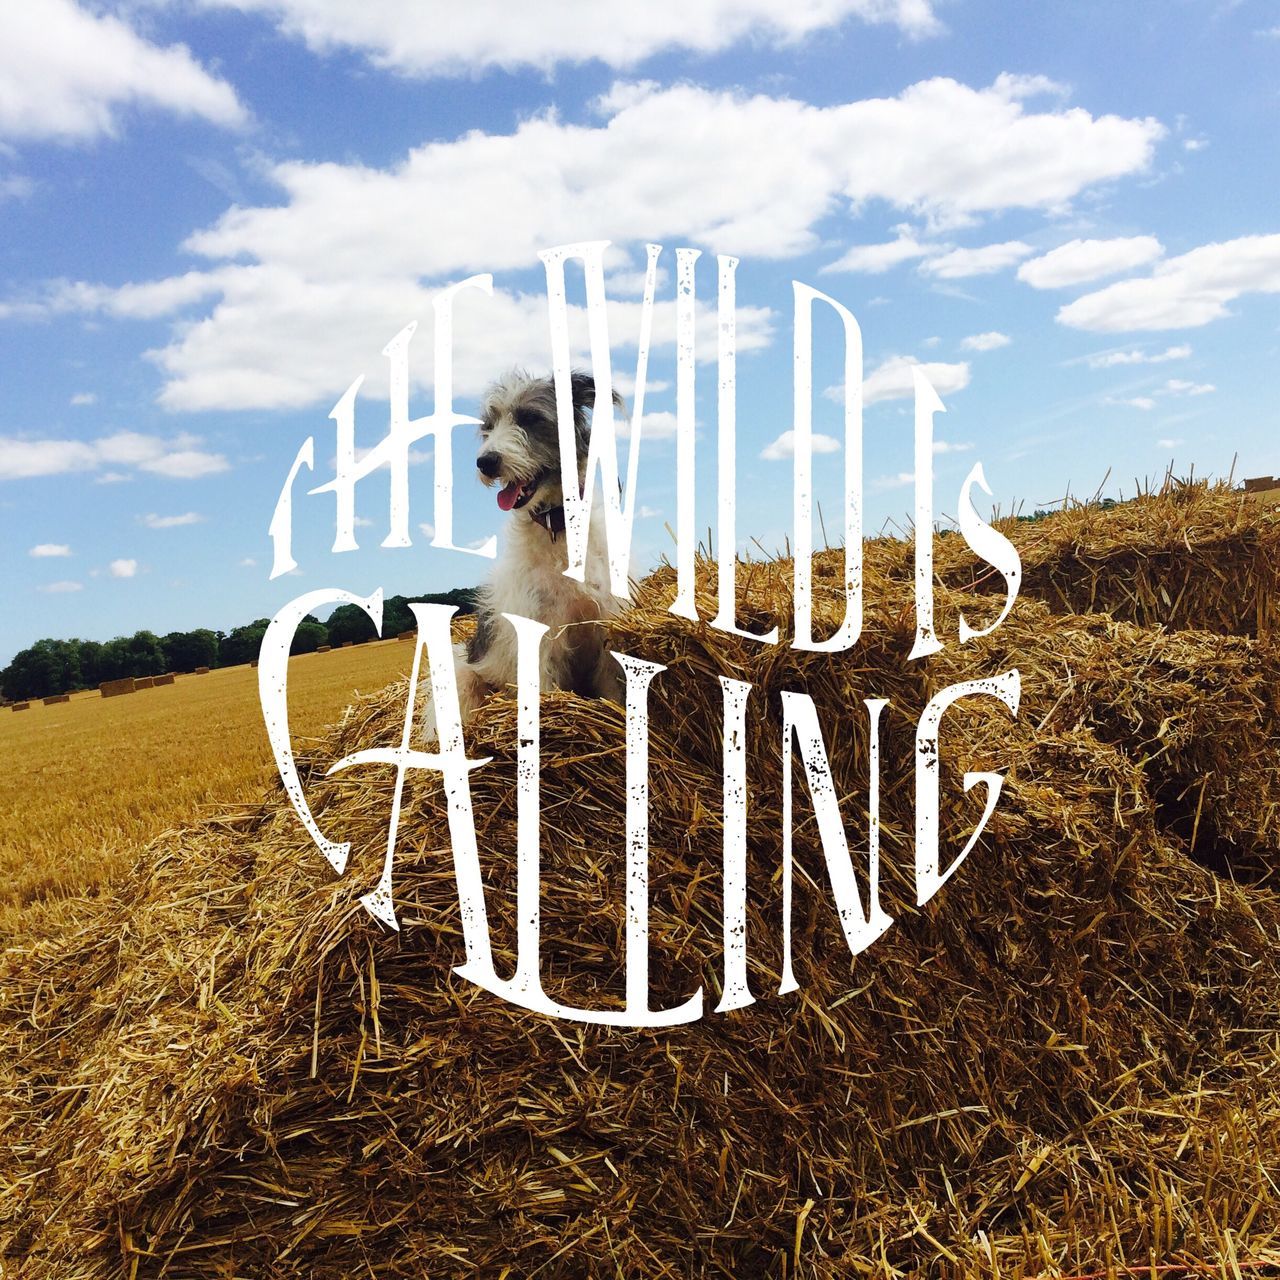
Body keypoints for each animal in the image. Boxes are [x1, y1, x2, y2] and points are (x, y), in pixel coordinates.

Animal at [448, 371, 632, 732]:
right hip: (463, 677)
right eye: (489, 426)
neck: (557, 529)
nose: (485, 462)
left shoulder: (605, 619)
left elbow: (611, 686)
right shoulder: (538, 632)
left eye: (530, 418)